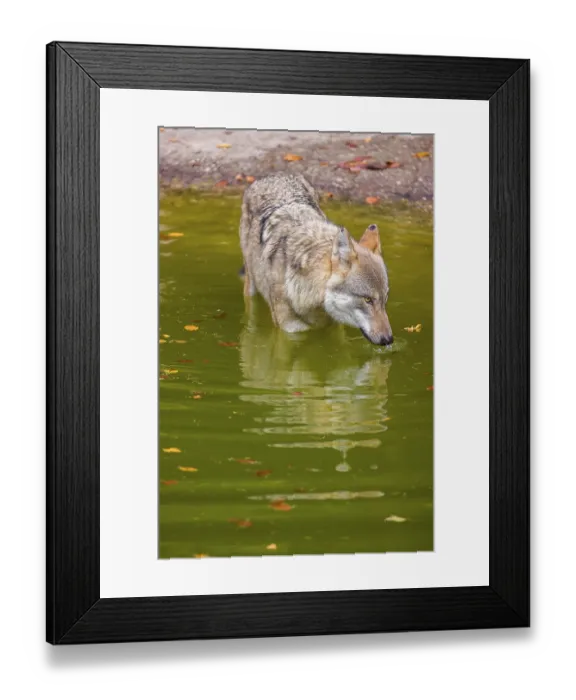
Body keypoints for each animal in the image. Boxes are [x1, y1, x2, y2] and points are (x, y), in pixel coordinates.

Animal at [239, 173, 393, 345]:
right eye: (367, 299)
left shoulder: (335, 328)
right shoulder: (289, 332)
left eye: (385, 298)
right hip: (251, 286)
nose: (388, 340)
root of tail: (274, 175)